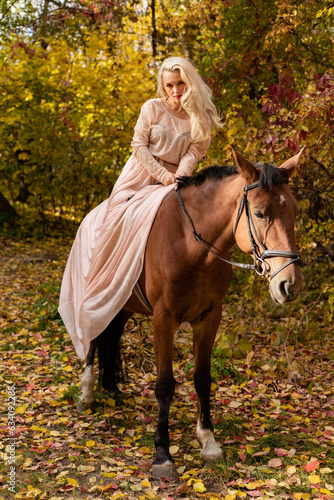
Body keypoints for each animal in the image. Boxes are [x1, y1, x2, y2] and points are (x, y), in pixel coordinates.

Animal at [74, 147, 304, 480]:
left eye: (295, 211)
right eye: (260, 213)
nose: (291, 284)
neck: (191, 244)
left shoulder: (210, 318)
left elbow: (202, 378)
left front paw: (208, 440)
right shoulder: (164, 318)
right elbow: (165, 384)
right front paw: (162, 454)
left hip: (122, 304)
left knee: (111, 335)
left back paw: (112, 387)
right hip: (96, 298)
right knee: (92, 339)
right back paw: (87, 394)